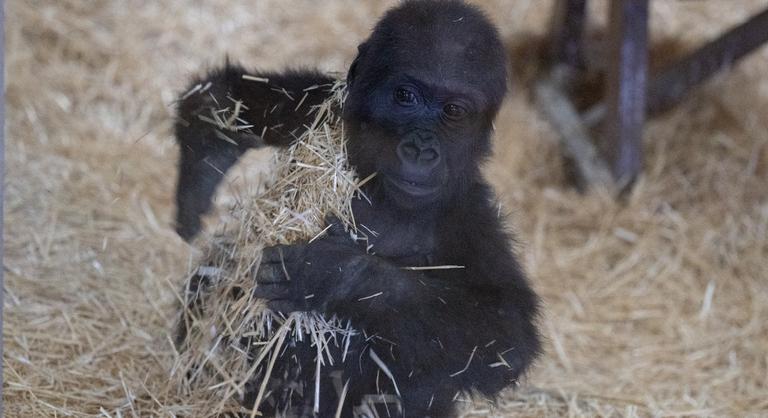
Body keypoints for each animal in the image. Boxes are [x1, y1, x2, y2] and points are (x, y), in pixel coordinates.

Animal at [176, 1, 540, 416]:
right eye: (406, 96)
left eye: (454, 111)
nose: (421, 149)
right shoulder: (319, 103)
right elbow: (225, 99)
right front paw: (205, 165)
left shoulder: (468, 216)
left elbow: (503, 334)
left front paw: (334, 274)